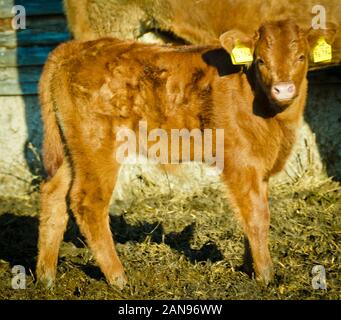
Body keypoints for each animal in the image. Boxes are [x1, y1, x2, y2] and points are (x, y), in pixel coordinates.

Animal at [36, 21, 334, 288]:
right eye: (260, 60)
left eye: (301, 56)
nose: (283, 89)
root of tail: (74, 47)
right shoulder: (241, 162)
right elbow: (258, 217)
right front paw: (265, 276)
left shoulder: (261, 167)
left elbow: (251, 214)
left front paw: (250, 266)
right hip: (98, 145)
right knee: (88, 202)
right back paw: (118, 279)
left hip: (72, 149)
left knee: (54, 194)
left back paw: (46, 276)